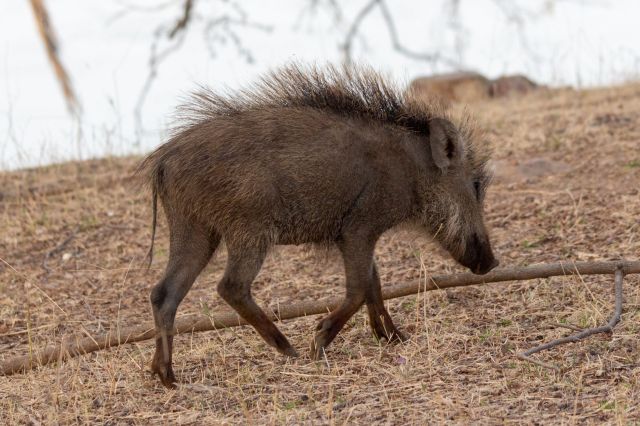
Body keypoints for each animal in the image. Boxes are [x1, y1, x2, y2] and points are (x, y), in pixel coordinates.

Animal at [137, 64, 499, 388]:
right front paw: (319, 343)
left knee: (163, 293)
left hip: (195, 230)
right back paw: (289, 349)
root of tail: (164, 161)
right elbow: (359, 288)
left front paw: (395, 337)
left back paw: (166, 376)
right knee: (230, 286)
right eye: (475, 185)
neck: (411, 171)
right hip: (249, 231)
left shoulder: (356, 235)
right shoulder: (359, 229)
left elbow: (373, 283)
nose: (493, 263)